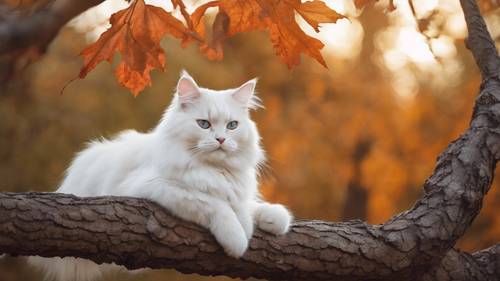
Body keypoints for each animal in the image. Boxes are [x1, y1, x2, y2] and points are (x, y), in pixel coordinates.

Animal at [28, 71, 292, 278]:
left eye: (232, 126)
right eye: (204, 124)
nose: (221, 140)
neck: (212, 169)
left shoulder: (235, 192)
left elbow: (248, 206)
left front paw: (274, 219)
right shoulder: (153, 186)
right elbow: (215, 204)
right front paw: (237, 238)